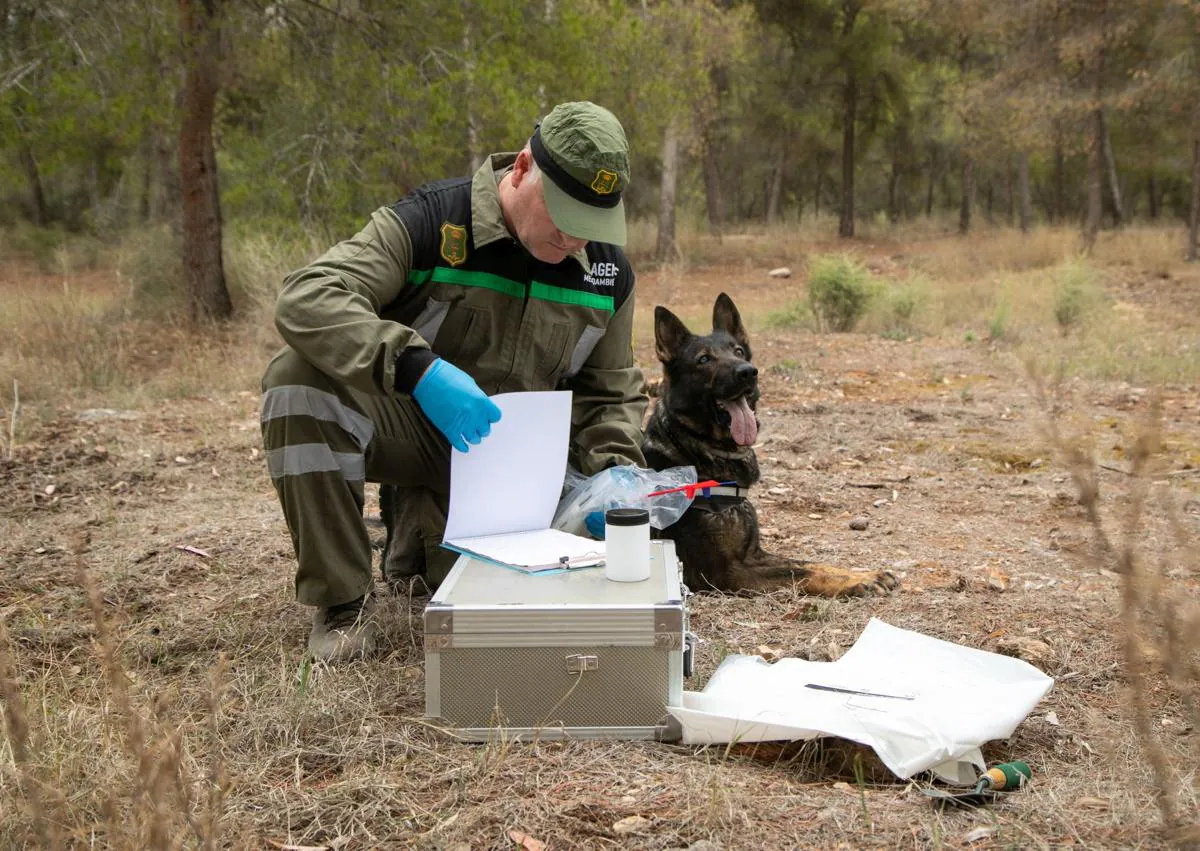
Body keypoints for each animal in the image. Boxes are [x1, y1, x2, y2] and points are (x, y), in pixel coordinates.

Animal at [643, 291, 897, 597]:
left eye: (738, 351)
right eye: (703, 359)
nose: (748, 372)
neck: (696, 447)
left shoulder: (755, 555)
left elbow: (809, 563)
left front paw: (860, 573)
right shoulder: (727, 572)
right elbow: (800, 572)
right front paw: (858, 581)